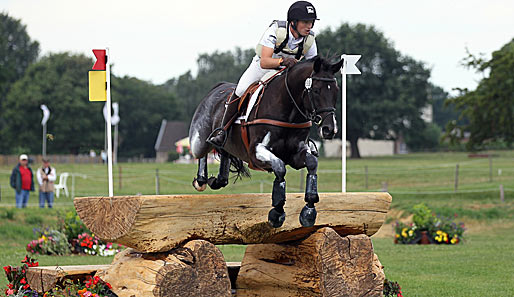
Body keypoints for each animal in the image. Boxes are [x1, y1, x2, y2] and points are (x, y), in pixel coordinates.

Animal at [188, 55, 344, 227]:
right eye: (316, 90)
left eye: (336, 90)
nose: (329, 129)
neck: (288, 111)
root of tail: (216, 88)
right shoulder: (256, 152)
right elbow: (280, 168)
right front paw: (277, 212)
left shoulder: (296, 154)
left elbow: (311, 164)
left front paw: (308, 212)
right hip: (199, 139)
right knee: (201, 151)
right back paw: (201, 180)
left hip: (227, 146)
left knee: (224, 156)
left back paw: (216, 180)